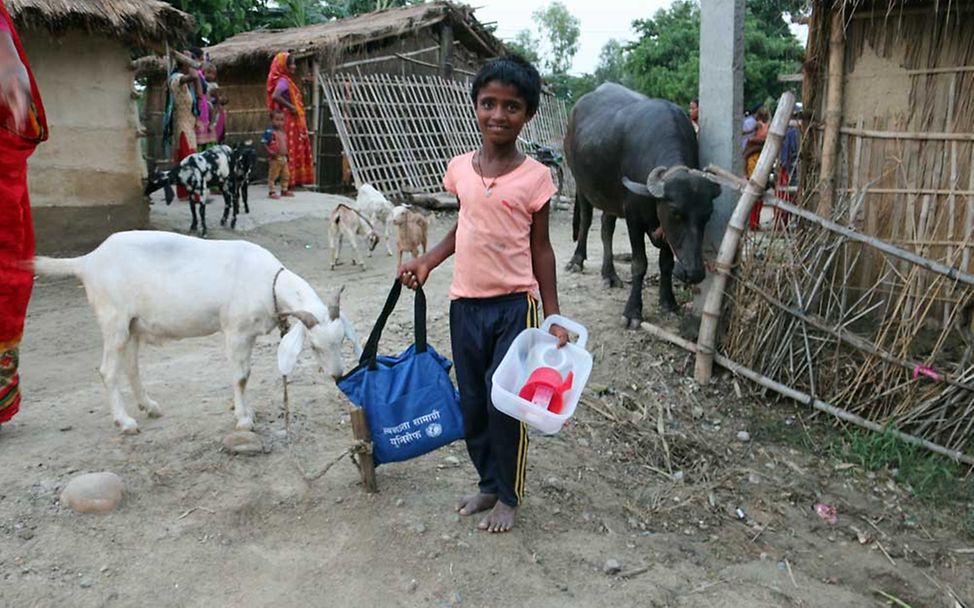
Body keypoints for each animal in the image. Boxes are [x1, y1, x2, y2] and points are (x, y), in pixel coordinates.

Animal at [34, 230, 364, 434]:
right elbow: (240, 377)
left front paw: (246, 411)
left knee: (132, 367)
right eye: (314, 346)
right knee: (107, 371)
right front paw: (244, 420)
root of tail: (88, 261)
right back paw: (125, 421)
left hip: (132, 324)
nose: (338, 375)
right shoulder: (235, 330)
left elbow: (246, 375)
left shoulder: (249, 334)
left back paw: (149, 406)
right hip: (113, 319)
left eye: (340, 341)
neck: (266, 281)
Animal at [568, 82, 720, 328]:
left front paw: (668, 301)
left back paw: (609, 274)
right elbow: (639, 264)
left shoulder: (663, 227)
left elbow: (666, 262)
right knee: (586, 220)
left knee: (606, 227)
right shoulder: (633, 218)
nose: (694, 273)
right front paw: (632, 311)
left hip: (610, 198)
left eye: (707, 214)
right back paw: (577, 260)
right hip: (581, 183)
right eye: (676, 212)